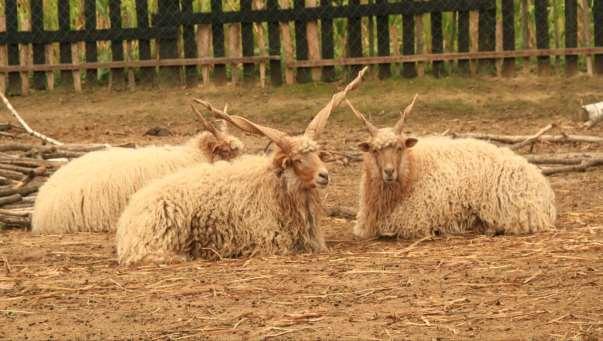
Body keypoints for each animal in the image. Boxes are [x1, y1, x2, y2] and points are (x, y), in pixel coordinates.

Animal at [113, 65, 368, 262]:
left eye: (317, 154)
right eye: (296, 159)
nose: (324, 175)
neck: (273, 186)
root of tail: (128, 217)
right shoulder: (269, 238)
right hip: (158, 240)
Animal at [346, 95, 560, 239]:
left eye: (400, 148)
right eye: (374, 150)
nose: (389, 172)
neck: (413, 169)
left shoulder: (414, 220)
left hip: (510, 211)